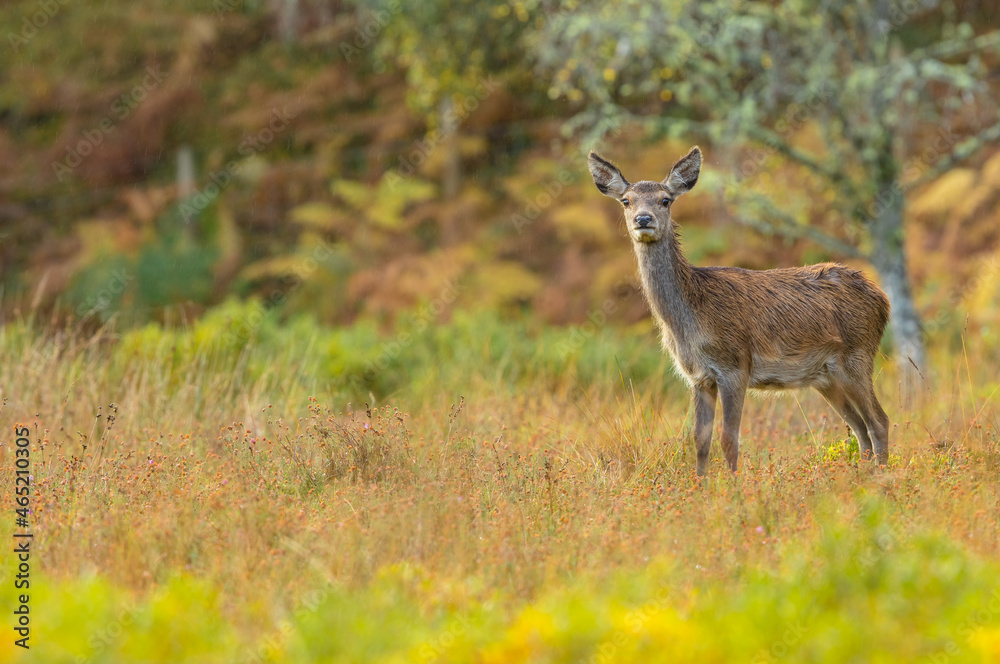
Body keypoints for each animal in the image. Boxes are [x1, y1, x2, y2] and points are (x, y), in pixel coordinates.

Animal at [588, 146, 891, 475]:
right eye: (626, 200)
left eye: (665, 200)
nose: (643, 219)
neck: (690, 319)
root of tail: (882, 299)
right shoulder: (699, 376)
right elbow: (700, 439)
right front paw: (700, 484)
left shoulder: (735, 365)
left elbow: (729, 439)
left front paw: (733, 486)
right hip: (826, 377)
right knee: (860, 428)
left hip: (857, 356)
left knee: (879, 421)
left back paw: (882, 478)